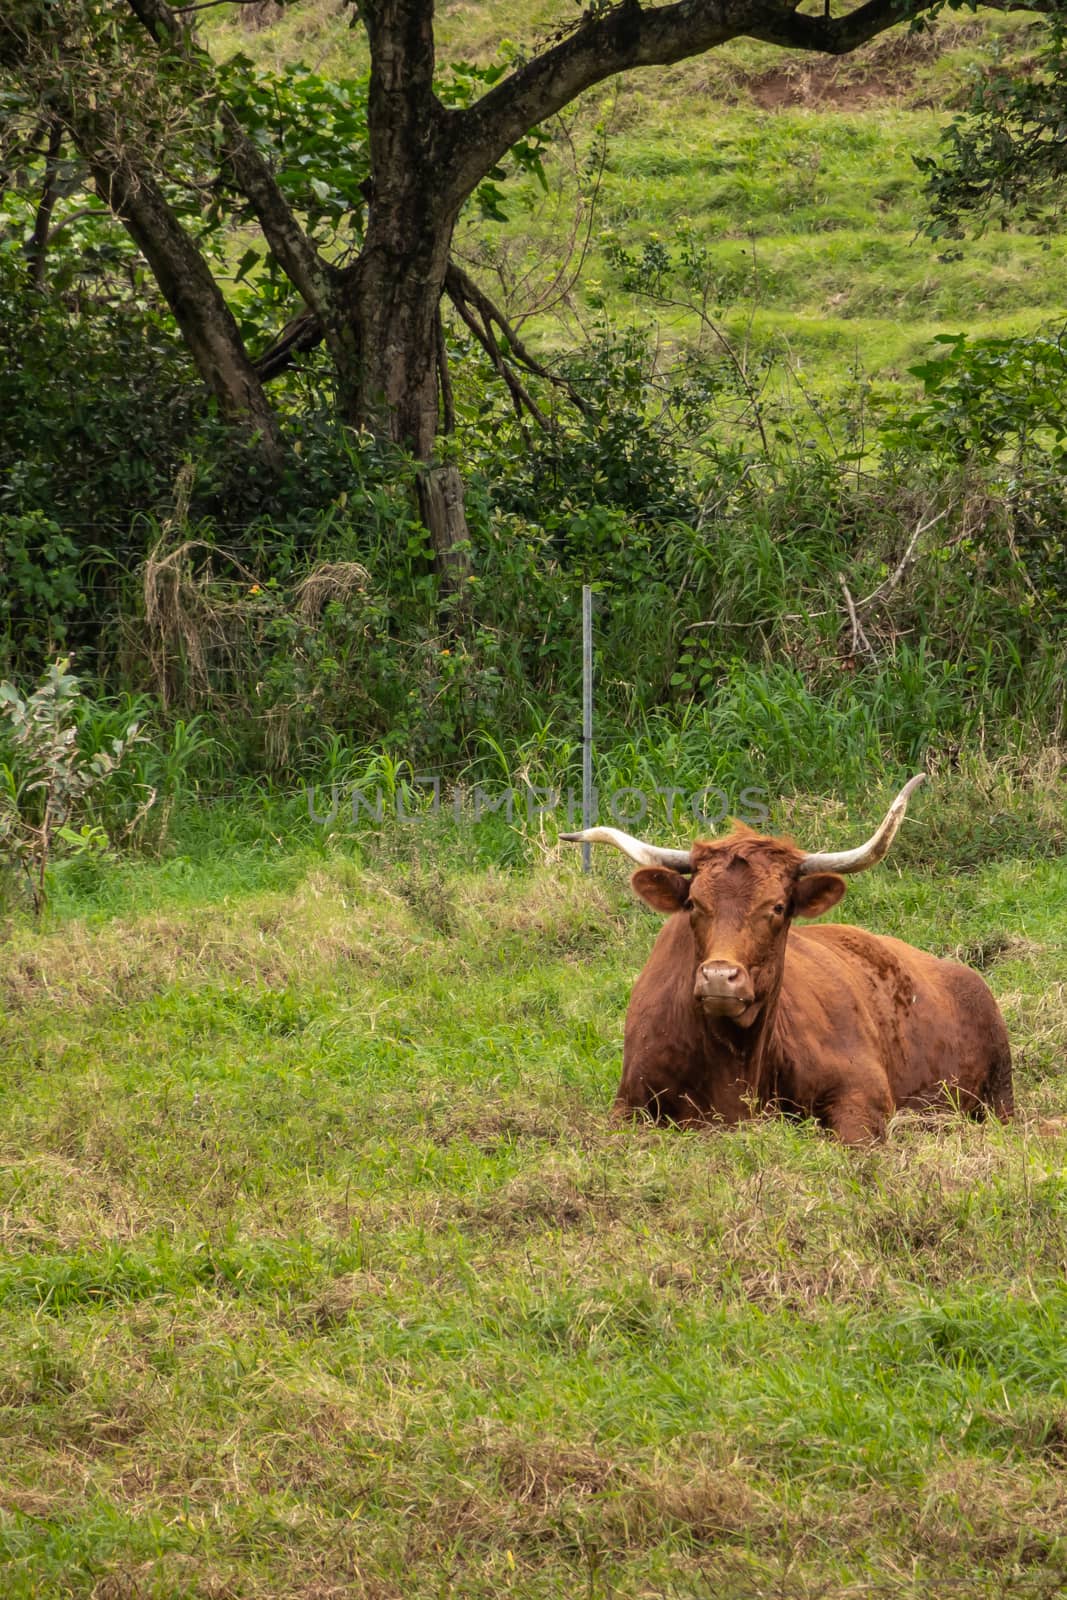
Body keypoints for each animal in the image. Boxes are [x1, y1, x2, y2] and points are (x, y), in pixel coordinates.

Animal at [563, 780, 1017, 1145]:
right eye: (693, 903)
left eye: (778, 907)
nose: (719, 977)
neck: (733, 1061)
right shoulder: (628, 1104)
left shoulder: (863, 1095)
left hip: (1001, 1098)